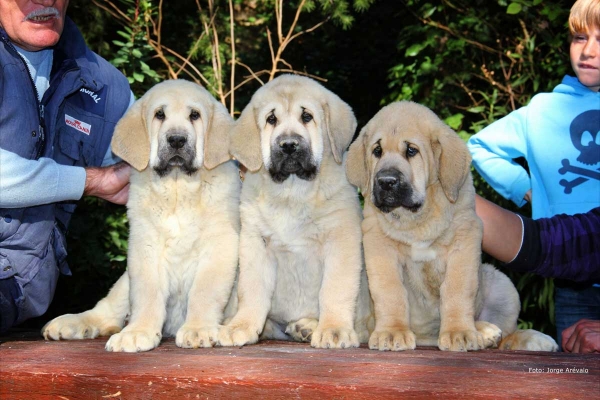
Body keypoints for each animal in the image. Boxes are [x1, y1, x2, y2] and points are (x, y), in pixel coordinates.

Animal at [42, 81, 240, 354]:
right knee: (106, 309)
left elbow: (204, 291)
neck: (178, 189)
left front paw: (198, 328)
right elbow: (147, 294)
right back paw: (70, 323)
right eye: (159, 114)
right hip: (123, 281)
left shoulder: (219, 245)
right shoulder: (144, 246)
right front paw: (138, 332)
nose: (176, 140)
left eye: (194, 115)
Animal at [218, 76, 372, 350]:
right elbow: (252, 290)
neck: (292, 194)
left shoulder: (340, 239)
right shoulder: (256, 243)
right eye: (271, 119)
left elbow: (335, 289)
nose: (288, 145)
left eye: (307, 116)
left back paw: (307, 326)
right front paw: (242, 326)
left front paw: (333, 329)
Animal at [346, 101, 556, 352]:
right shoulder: (378, 244)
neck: (417, 219)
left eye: (411, 151)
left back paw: (516, 336)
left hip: (502, 284)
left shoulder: (465, 239)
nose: (386, 181)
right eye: (377, 151)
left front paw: (459, 333)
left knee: (506, 334)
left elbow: (457, 289)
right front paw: (392, 332)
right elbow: (390, 291)